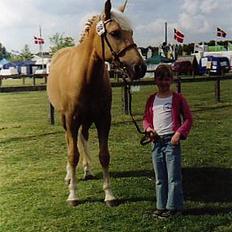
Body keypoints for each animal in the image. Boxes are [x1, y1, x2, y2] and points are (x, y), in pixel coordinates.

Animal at [46, 0, 146, 207]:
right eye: (115, 33)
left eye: (131, 33)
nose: (140, 67)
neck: (85, 76)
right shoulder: (71, 119)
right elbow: (72, 154)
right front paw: (73, 195)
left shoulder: (103, 119)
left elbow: (104, 155)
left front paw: (109, 194)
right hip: (65, 119)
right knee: (70, 142)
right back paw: (69, 176)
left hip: (86, 120)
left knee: (82, 138)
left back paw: (87, 170)